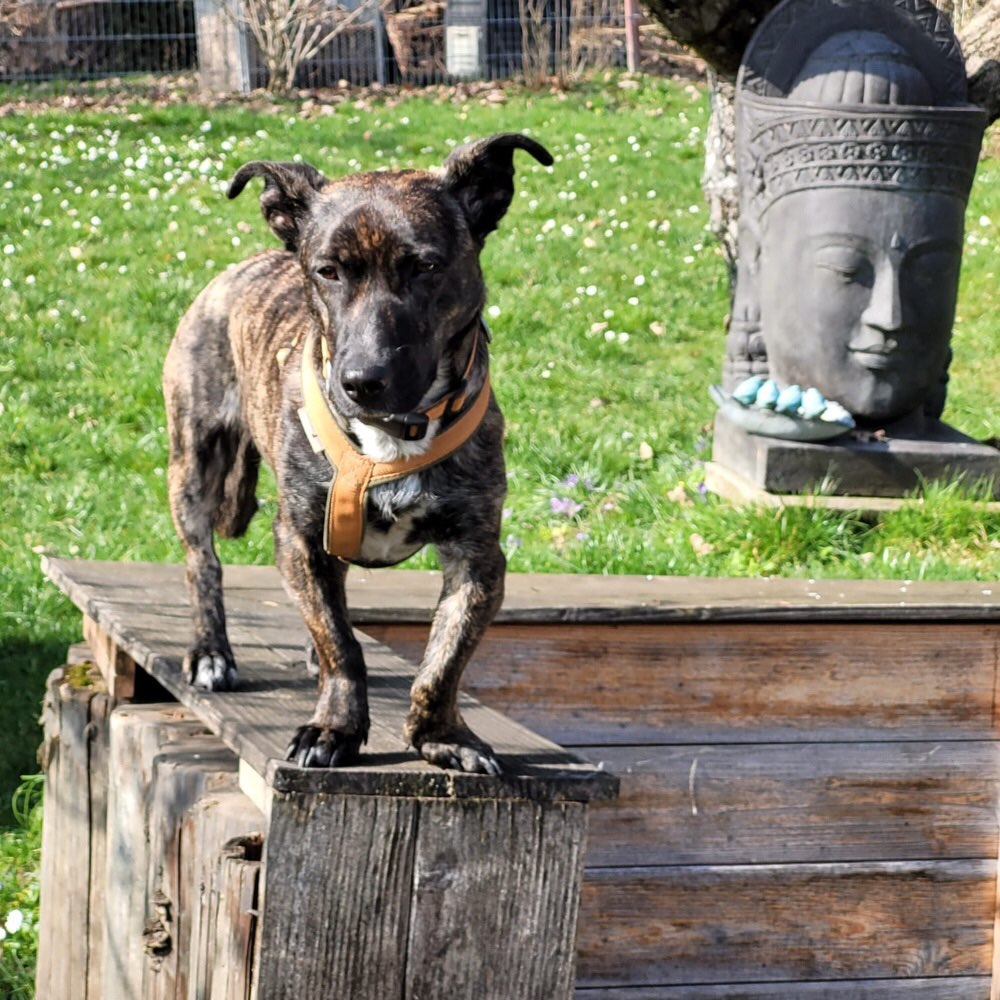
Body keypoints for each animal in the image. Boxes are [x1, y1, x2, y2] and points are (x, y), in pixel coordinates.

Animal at [166, 133, 556, 772]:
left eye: (426, 267)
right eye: (328, 272)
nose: (361, 380)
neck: (393, 432)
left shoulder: (477, 557)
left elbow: (444, 659)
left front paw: (443, 735)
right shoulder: (299, 537)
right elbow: (341, 646)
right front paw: (335, 728)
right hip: (193, 462)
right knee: (204, 562)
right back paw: (210, 651)